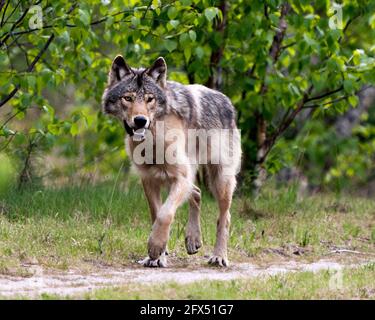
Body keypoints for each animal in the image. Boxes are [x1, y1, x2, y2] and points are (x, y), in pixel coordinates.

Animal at [101, 55, 242, 268]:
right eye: (128, 98)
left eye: (150, 99)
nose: (140, 120)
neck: (153, 138)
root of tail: (227, 101)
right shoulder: (149, 179)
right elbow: (156, 213)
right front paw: (158, 256)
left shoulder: (180, 177)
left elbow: (165, 214)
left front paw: (155, 248)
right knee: (197, 193)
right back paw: (193, 240)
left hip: (220, 180)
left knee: (224, 218)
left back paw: (219, 256)